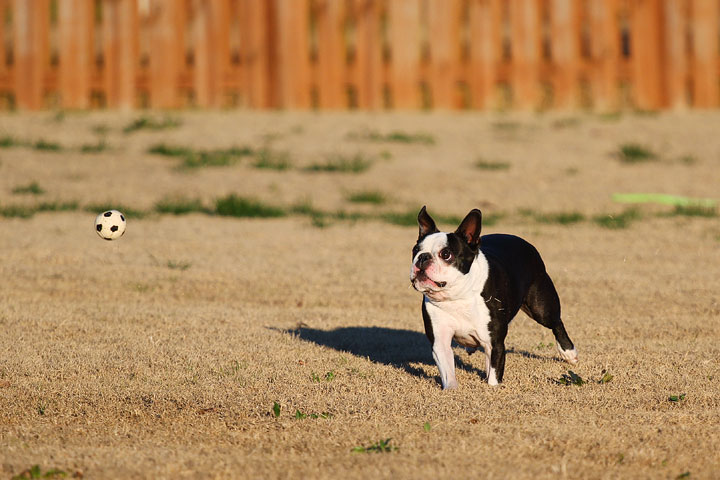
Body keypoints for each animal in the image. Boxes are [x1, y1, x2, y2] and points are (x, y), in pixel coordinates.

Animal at [410, 204, 580, 388]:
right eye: (415, 250)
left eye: (446, 254)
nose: (423, 257)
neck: (457, 297)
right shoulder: (440, 342)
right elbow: (448, 372)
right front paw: (451, 390)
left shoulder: (495, 344)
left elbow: (493, 375)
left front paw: (493, 388)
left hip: (541, 307)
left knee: (556, 322)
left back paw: (569, 353)